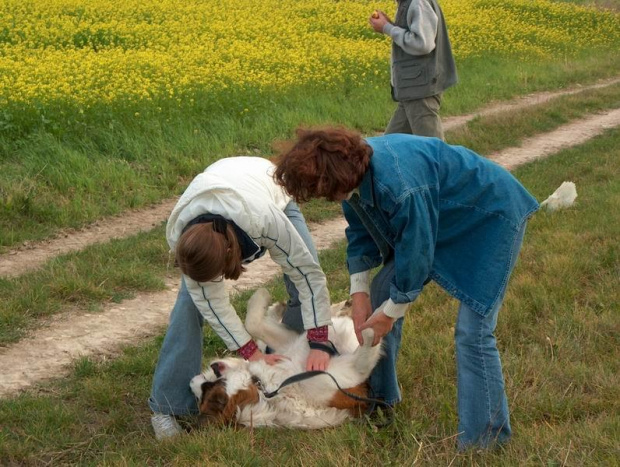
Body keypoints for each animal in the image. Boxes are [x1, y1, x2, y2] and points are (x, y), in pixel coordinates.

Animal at [189, 288, 382, 432]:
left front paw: (263, 296)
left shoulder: (287, 344)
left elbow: (253, 323)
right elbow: (368, 338)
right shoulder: (351, 372)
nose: (192, 381)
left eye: (208, 384)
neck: (265, 386)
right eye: (205, 393)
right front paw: (376, 321)